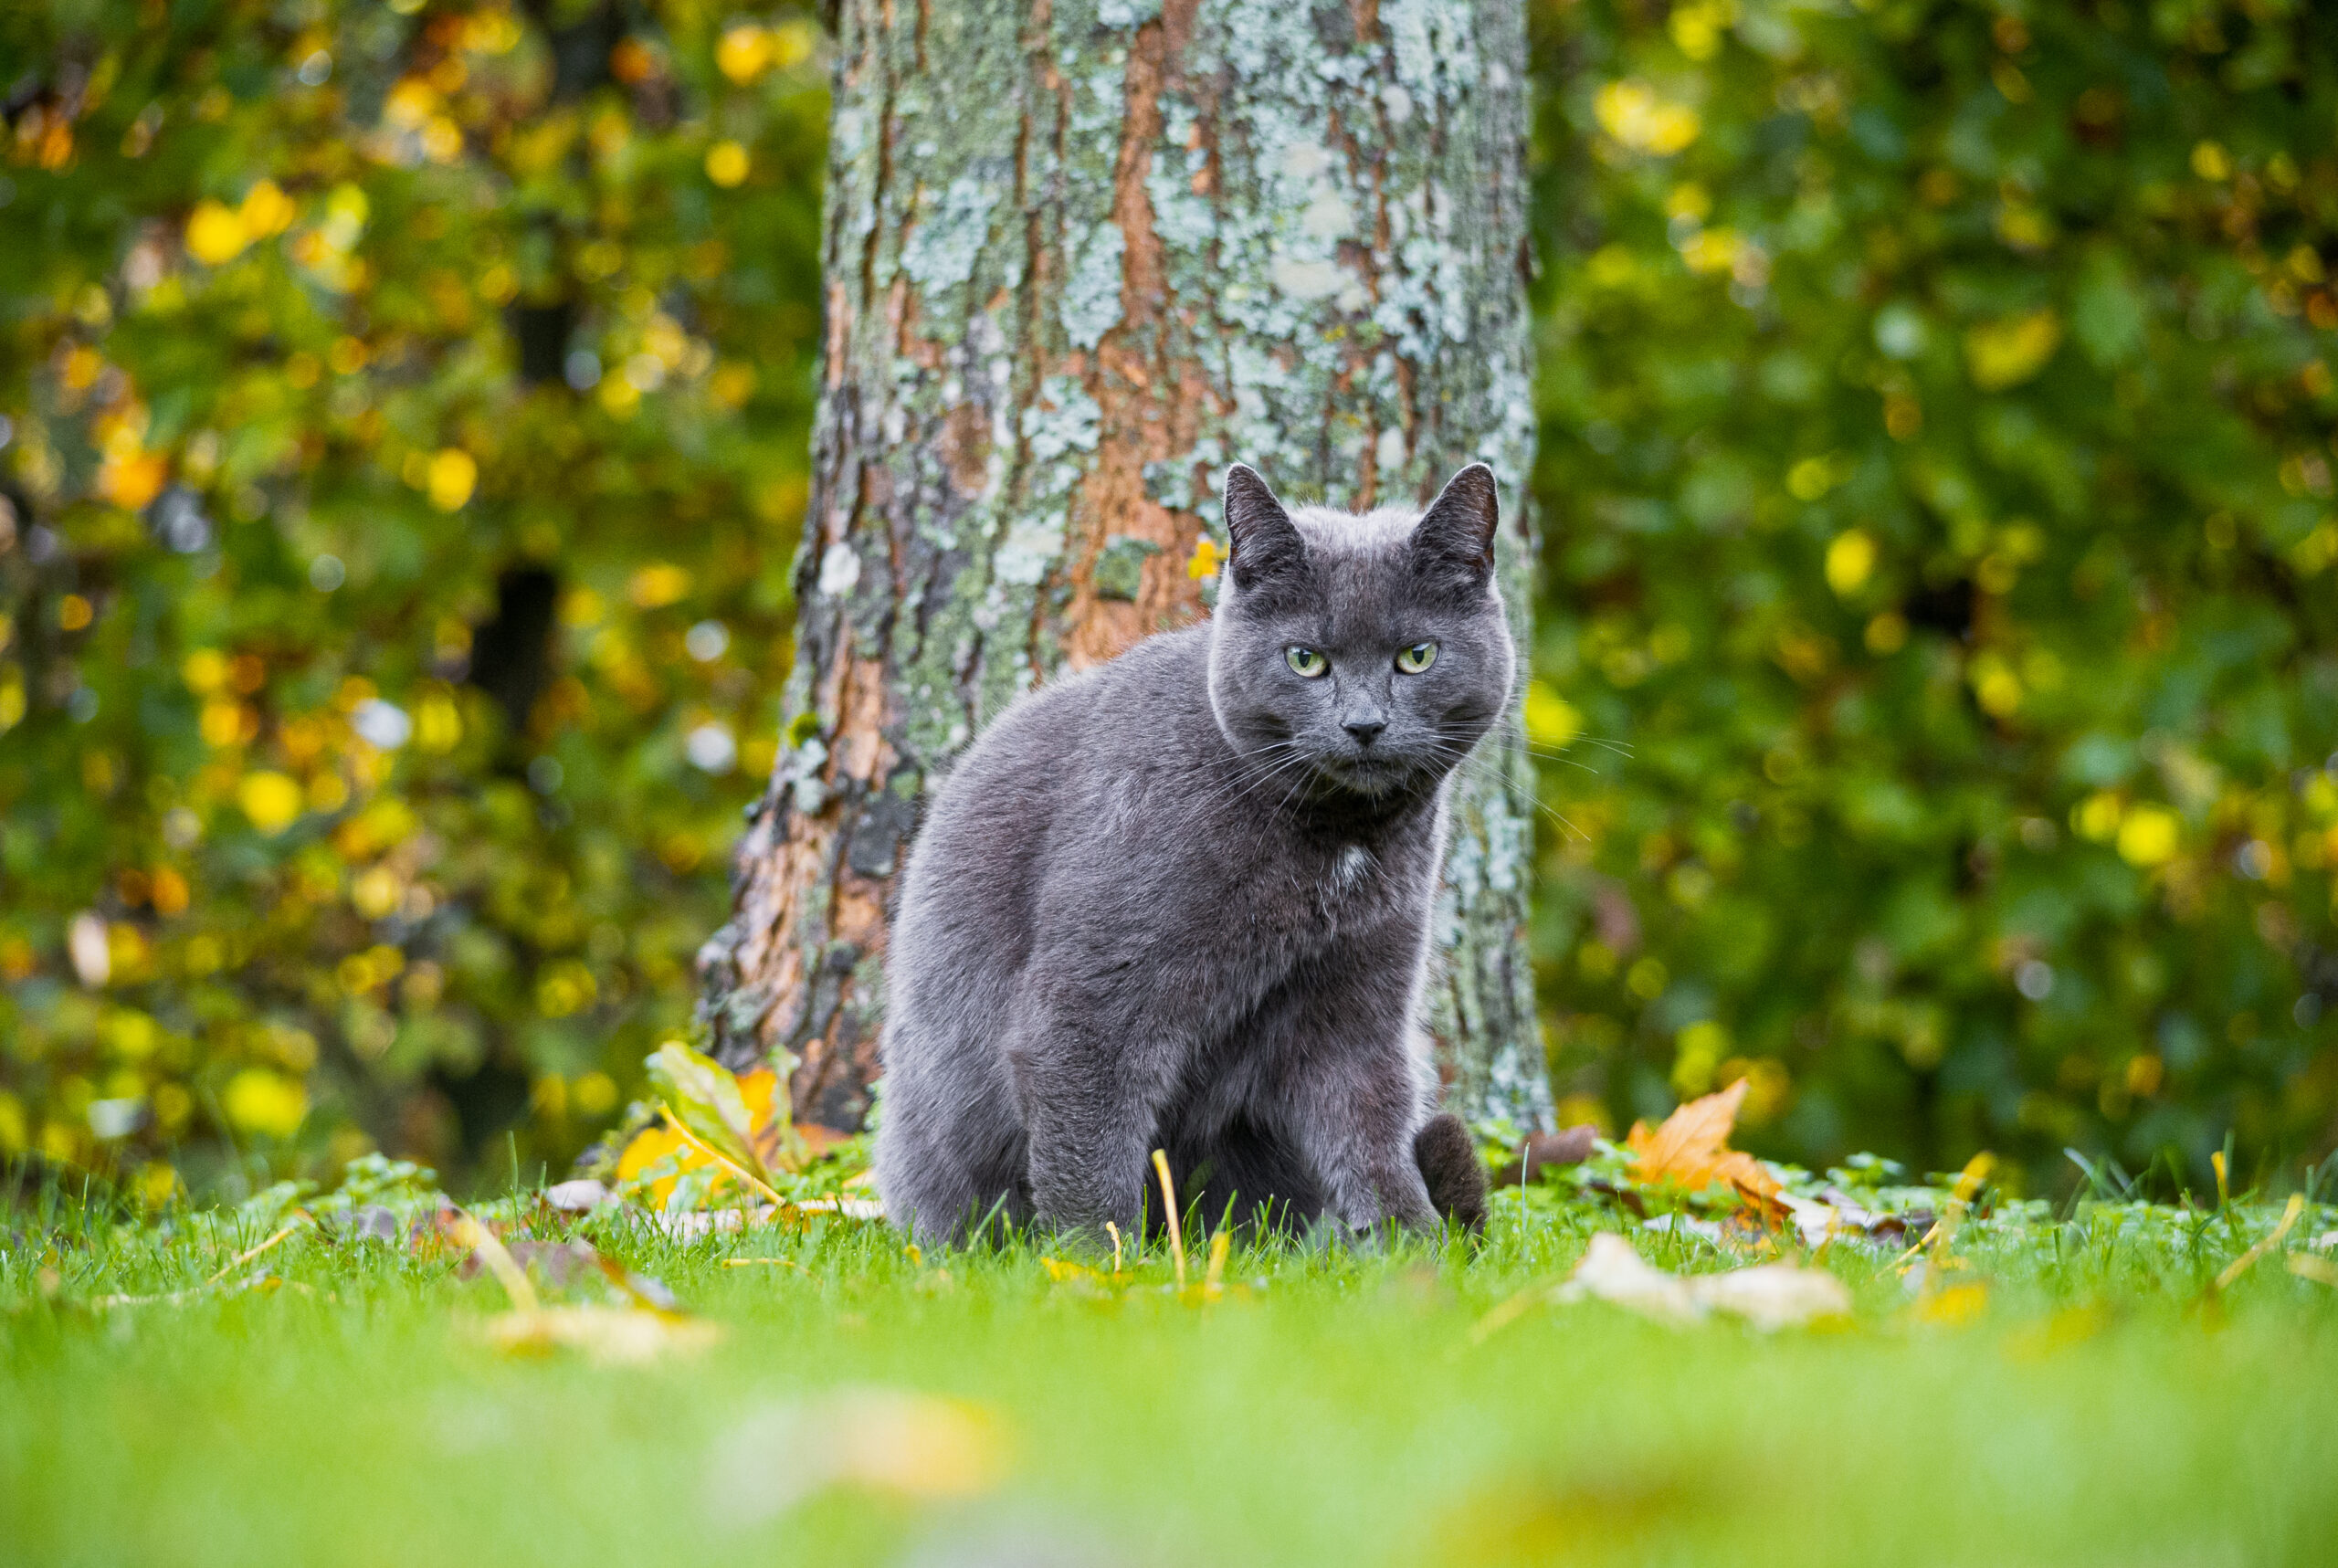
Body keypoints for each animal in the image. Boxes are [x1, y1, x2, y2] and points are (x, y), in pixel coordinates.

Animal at [879, 460, 1514, 1243]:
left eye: (1417, 656)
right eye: (1305, 659)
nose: (1364, 724)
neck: (1335, 843)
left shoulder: (1360, 992)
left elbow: (1369, 1124)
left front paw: (1414, 1248)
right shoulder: (1091, 997)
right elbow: (1089, 1141)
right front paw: (1097, 1259)